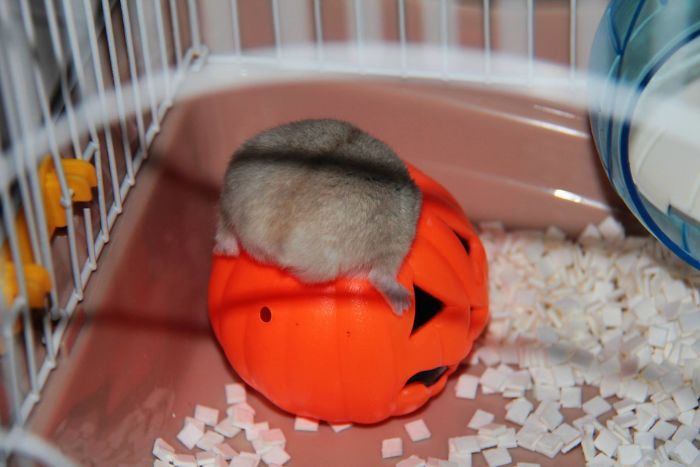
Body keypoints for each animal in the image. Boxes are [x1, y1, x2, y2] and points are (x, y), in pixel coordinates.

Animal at [215, 119, 422, 315]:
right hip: (392, 247)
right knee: (380, 275)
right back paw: (405, 304)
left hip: (235, 194)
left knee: (225, 221)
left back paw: (225, 251)